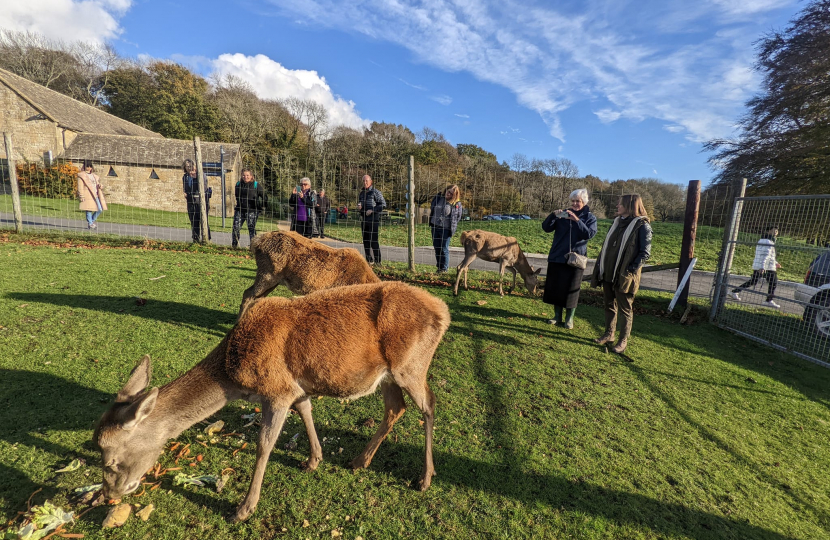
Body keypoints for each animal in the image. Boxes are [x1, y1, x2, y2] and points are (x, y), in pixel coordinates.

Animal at [94, 282, 452, 524]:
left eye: (111, 460)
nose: (109, 495)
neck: (234, 376)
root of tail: (443, 311)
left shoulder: (277, 389)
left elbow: (264, 444)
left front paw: (243, 508)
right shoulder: (295, 386)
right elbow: (305, 408)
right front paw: (313, 460)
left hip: (411, 365)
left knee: (429, 405)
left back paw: (425, 477)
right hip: (388, 374)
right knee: (395, 408)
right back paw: (360, 460)